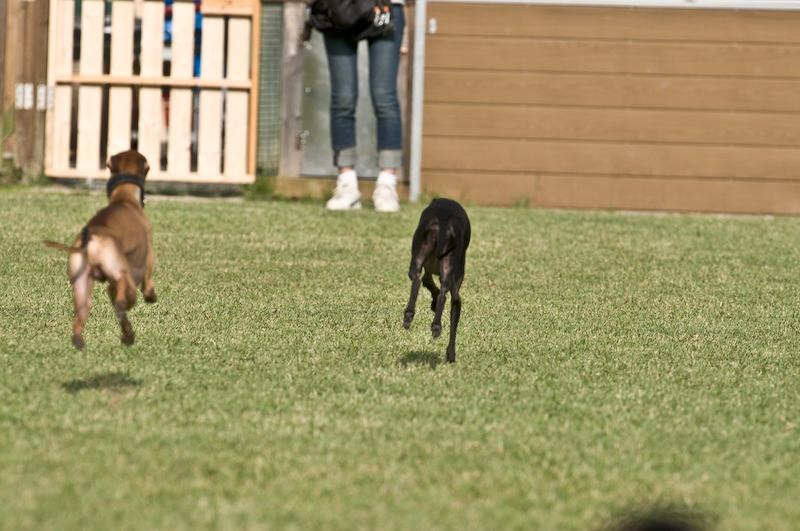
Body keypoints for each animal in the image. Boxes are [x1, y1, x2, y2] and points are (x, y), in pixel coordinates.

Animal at [43, 150, 157, 350]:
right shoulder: (148, 256)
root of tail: (93, 239)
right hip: (119, 273)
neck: (124, 198)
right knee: (124, 296)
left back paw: (82, 342)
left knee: (81, 320)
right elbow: (148, 281)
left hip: (82, 287)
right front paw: (150, 295)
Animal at [403, 198, 471, 363]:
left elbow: (427, 282)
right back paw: (436, 326)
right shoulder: (456, 294)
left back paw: (409, 316)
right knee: (444, 295)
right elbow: (453, 320)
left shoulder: (428, 272)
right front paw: (451, 354)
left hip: (418, 256)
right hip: (450, 267)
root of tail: (443, 218)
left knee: (416, 281)